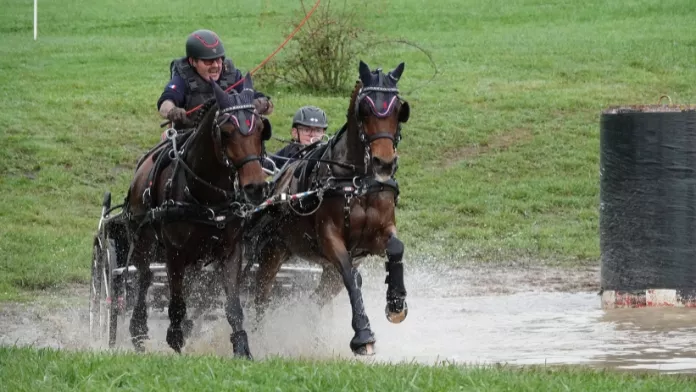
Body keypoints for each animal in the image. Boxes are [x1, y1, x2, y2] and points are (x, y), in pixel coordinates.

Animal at [122, 74, 270, 358]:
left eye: (260, 129)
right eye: (226, 132)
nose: (255, 187)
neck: (207, 195)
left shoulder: (230, 250)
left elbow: (232, 306)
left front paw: (241, 347)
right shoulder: (175, 252)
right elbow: (176, 302)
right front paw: (175, 339)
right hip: (144, 241)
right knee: (144, 279)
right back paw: (138, 330)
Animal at [247, 60, 410, 356]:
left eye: (398, 109)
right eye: (364, 109)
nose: (384, 163)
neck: (356, 181)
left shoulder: (377, 234)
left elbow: (395, 248)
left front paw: (396, 302)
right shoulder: (330, 238)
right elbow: (350, 276)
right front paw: (363, 335)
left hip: (322, 273)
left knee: (316, 298)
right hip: (272, 252)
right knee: (261, 296)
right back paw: (260, 339)